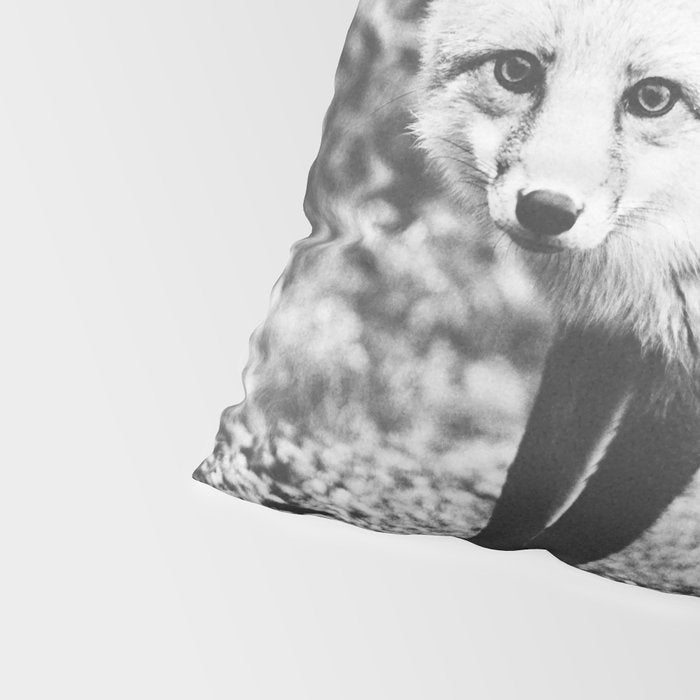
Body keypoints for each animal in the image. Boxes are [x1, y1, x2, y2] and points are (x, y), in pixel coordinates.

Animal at [413, 0, 700, 565]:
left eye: (654, 97)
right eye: (515, 70)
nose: (547, 209)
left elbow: (604, 515)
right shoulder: (604, 330)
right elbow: (540, 467)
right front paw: (494, 546)